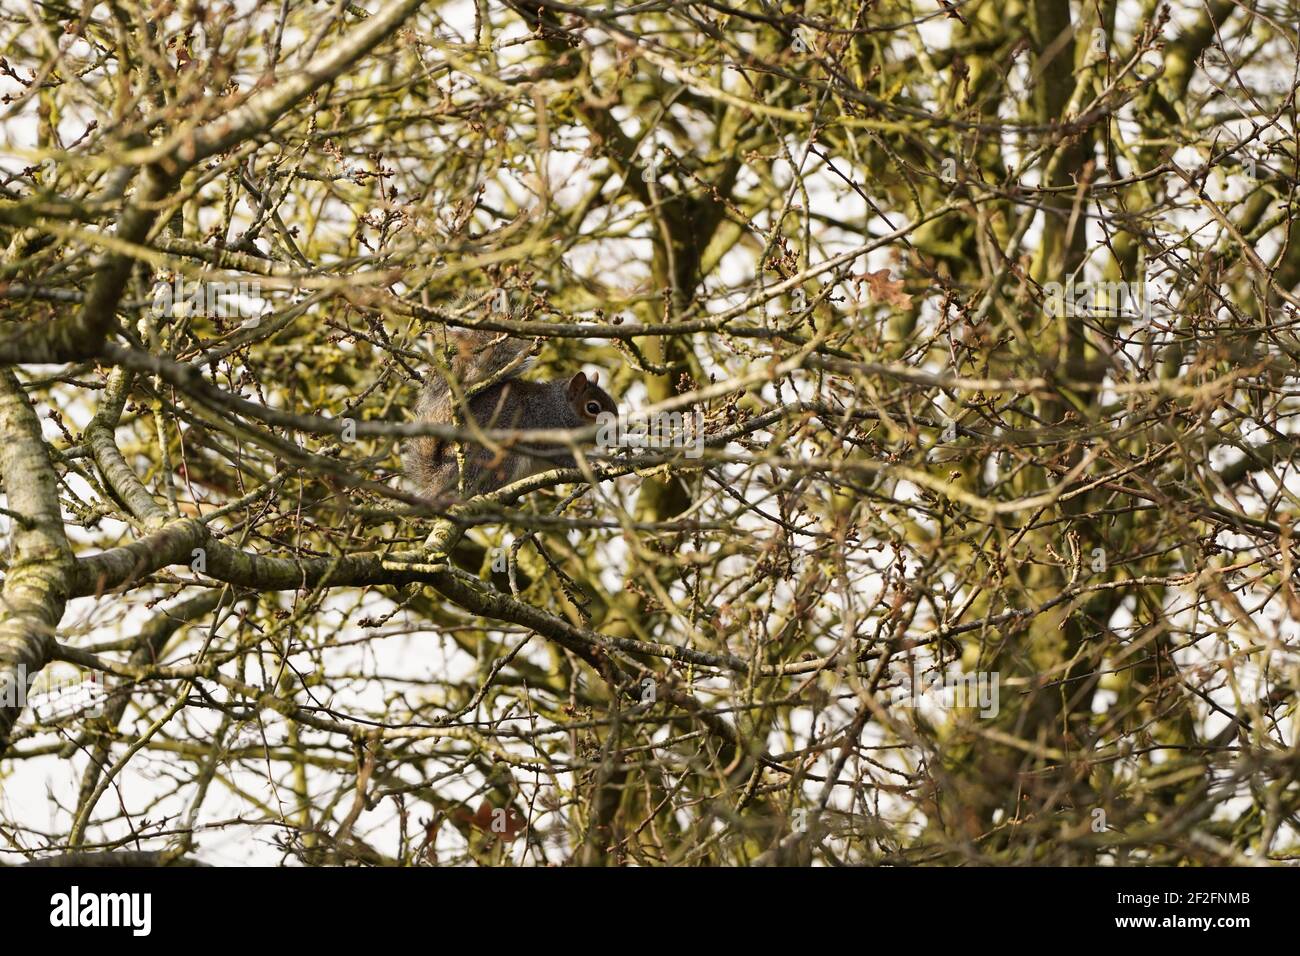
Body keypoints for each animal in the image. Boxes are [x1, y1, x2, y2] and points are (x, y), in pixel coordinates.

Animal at [403, 326, 619, 499]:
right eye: (593, 408)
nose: (617, 432)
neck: (558, 408)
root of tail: (437, 479)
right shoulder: (547, 432)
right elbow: (564, 458)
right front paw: (592, 463)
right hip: (497, 459)